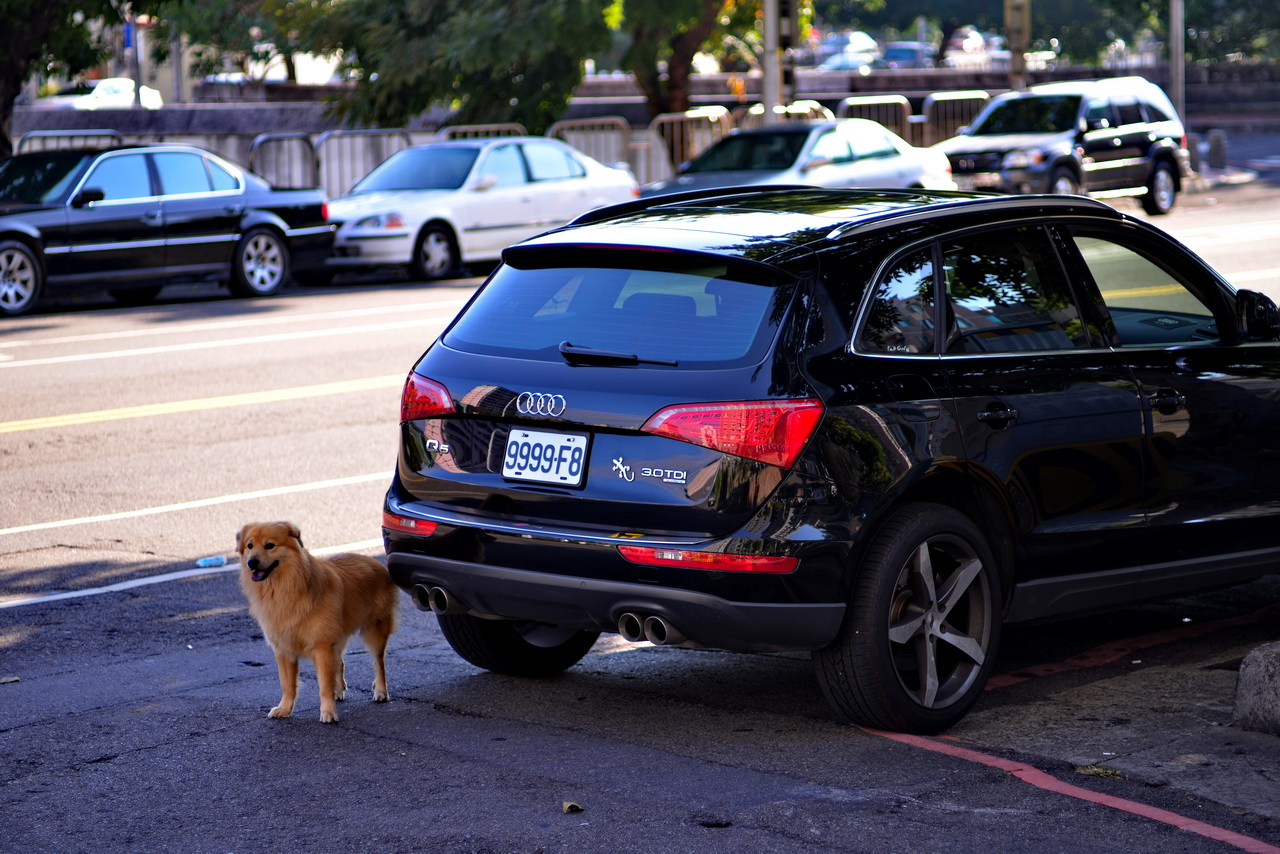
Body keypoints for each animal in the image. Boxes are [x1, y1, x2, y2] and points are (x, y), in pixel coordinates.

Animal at [236, 521, 398, 723]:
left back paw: (381, 691)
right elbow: (287, 684)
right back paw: (339, 690)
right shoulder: (284, 648)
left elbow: (323, 685)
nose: (251, 562)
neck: (286, 588)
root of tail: (377, 563)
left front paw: (328, 712)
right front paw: (284, 709)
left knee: (379, 662)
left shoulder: (322, 646)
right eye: (249, 546)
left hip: (374, 629)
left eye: (269, 545)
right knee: (340, 662)